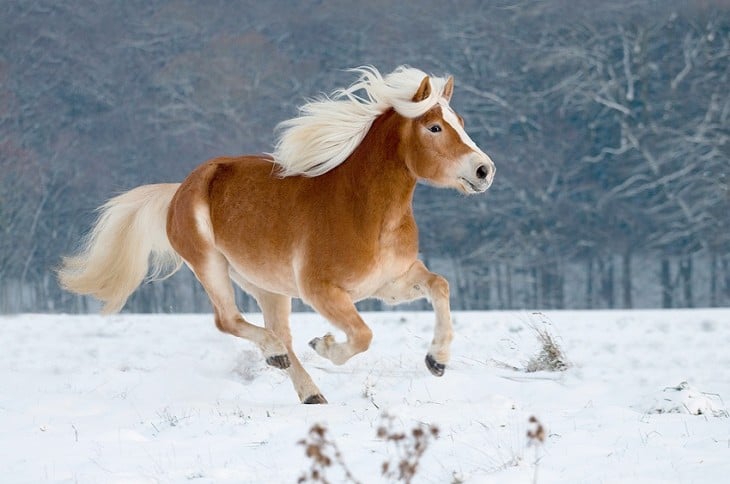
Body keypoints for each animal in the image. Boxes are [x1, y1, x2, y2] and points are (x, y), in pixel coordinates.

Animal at [58, 65, 494, 404]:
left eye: (461, 123)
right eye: (434, 126)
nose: (484, 170)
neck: (367, 212)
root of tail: (179, 189)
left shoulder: (388, 283)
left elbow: (440, 286)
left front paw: (437, 361)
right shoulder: (323, 291)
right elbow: (363, 335)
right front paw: (325, 345)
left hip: (269, 287)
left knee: (277, 332)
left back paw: (308, 390)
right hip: (210, 265)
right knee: (230, 320)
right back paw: (277, 356)